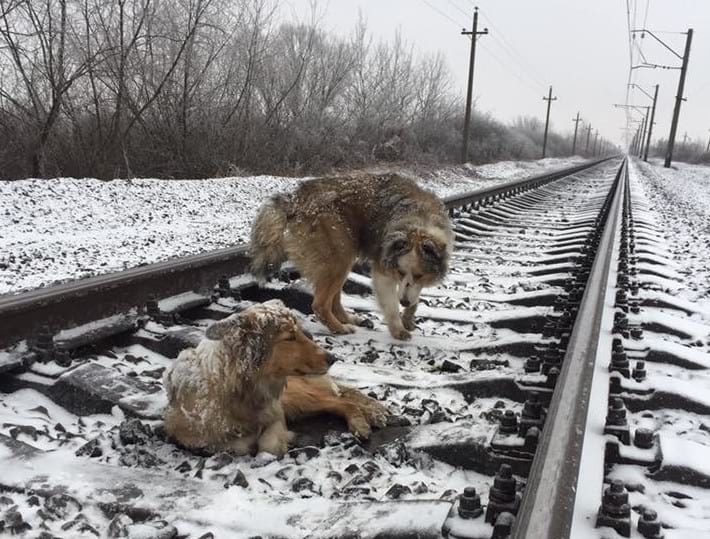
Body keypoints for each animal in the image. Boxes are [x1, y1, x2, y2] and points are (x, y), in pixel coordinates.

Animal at [163, 300, 390, 456]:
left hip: (297, 397)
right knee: (340, 400)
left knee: (342, 401)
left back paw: (363, 421)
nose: (333, 358)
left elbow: (268, 445)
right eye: (289, 337)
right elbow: (235, 444)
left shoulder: (276, 412)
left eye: (300, 332)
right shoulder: (187, 434)